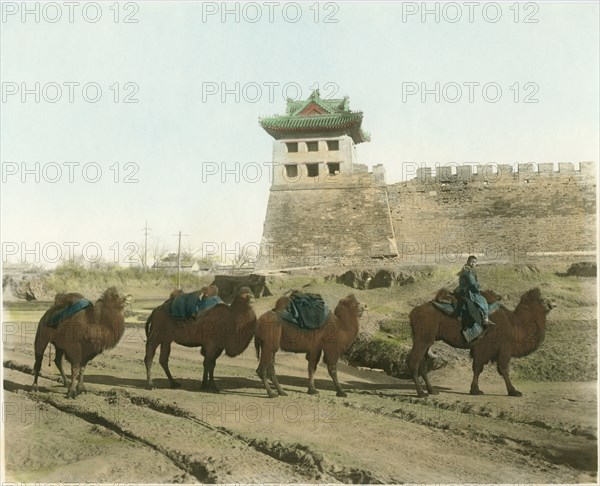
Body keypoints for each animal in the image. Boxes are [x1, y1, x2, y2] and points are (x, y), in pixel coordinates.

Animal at [408, 286, 556, 396]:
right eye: (541, 299)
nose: (553, 302)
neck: (514, 326)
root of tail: (413, 313)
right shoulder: (499, 348)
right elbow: (499, 369)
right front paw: (513, 391)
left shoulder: (485, 348)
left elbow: (478, 368)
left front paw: (475, 390)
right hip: (422, 338)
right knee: (414, 362)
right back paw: (421, 393)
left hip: (426, 340)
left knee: (422, 365)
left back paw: (432, 390)